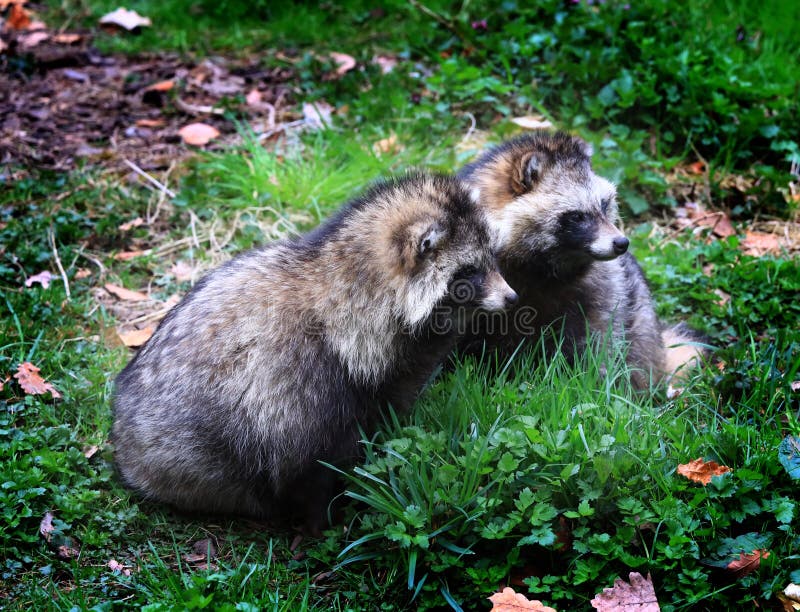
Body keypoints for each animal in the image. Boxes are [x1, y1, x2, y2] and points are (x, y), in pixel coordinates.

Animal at [112, 172, 517, 530]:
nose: (512, 298)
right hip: (183, 455)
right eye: (469, 271)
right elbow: (302, 465)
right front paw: (323, 519)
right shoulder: (297, 377)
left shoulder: (394, 373)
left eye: (492, 258)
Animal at [458, 132, 705, 389]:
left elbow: (598, 346)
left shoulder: (600, 292)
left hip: (641, 324)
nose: (622, 243)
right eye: (577, 216)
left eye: (604, 205)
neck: (540, 269)